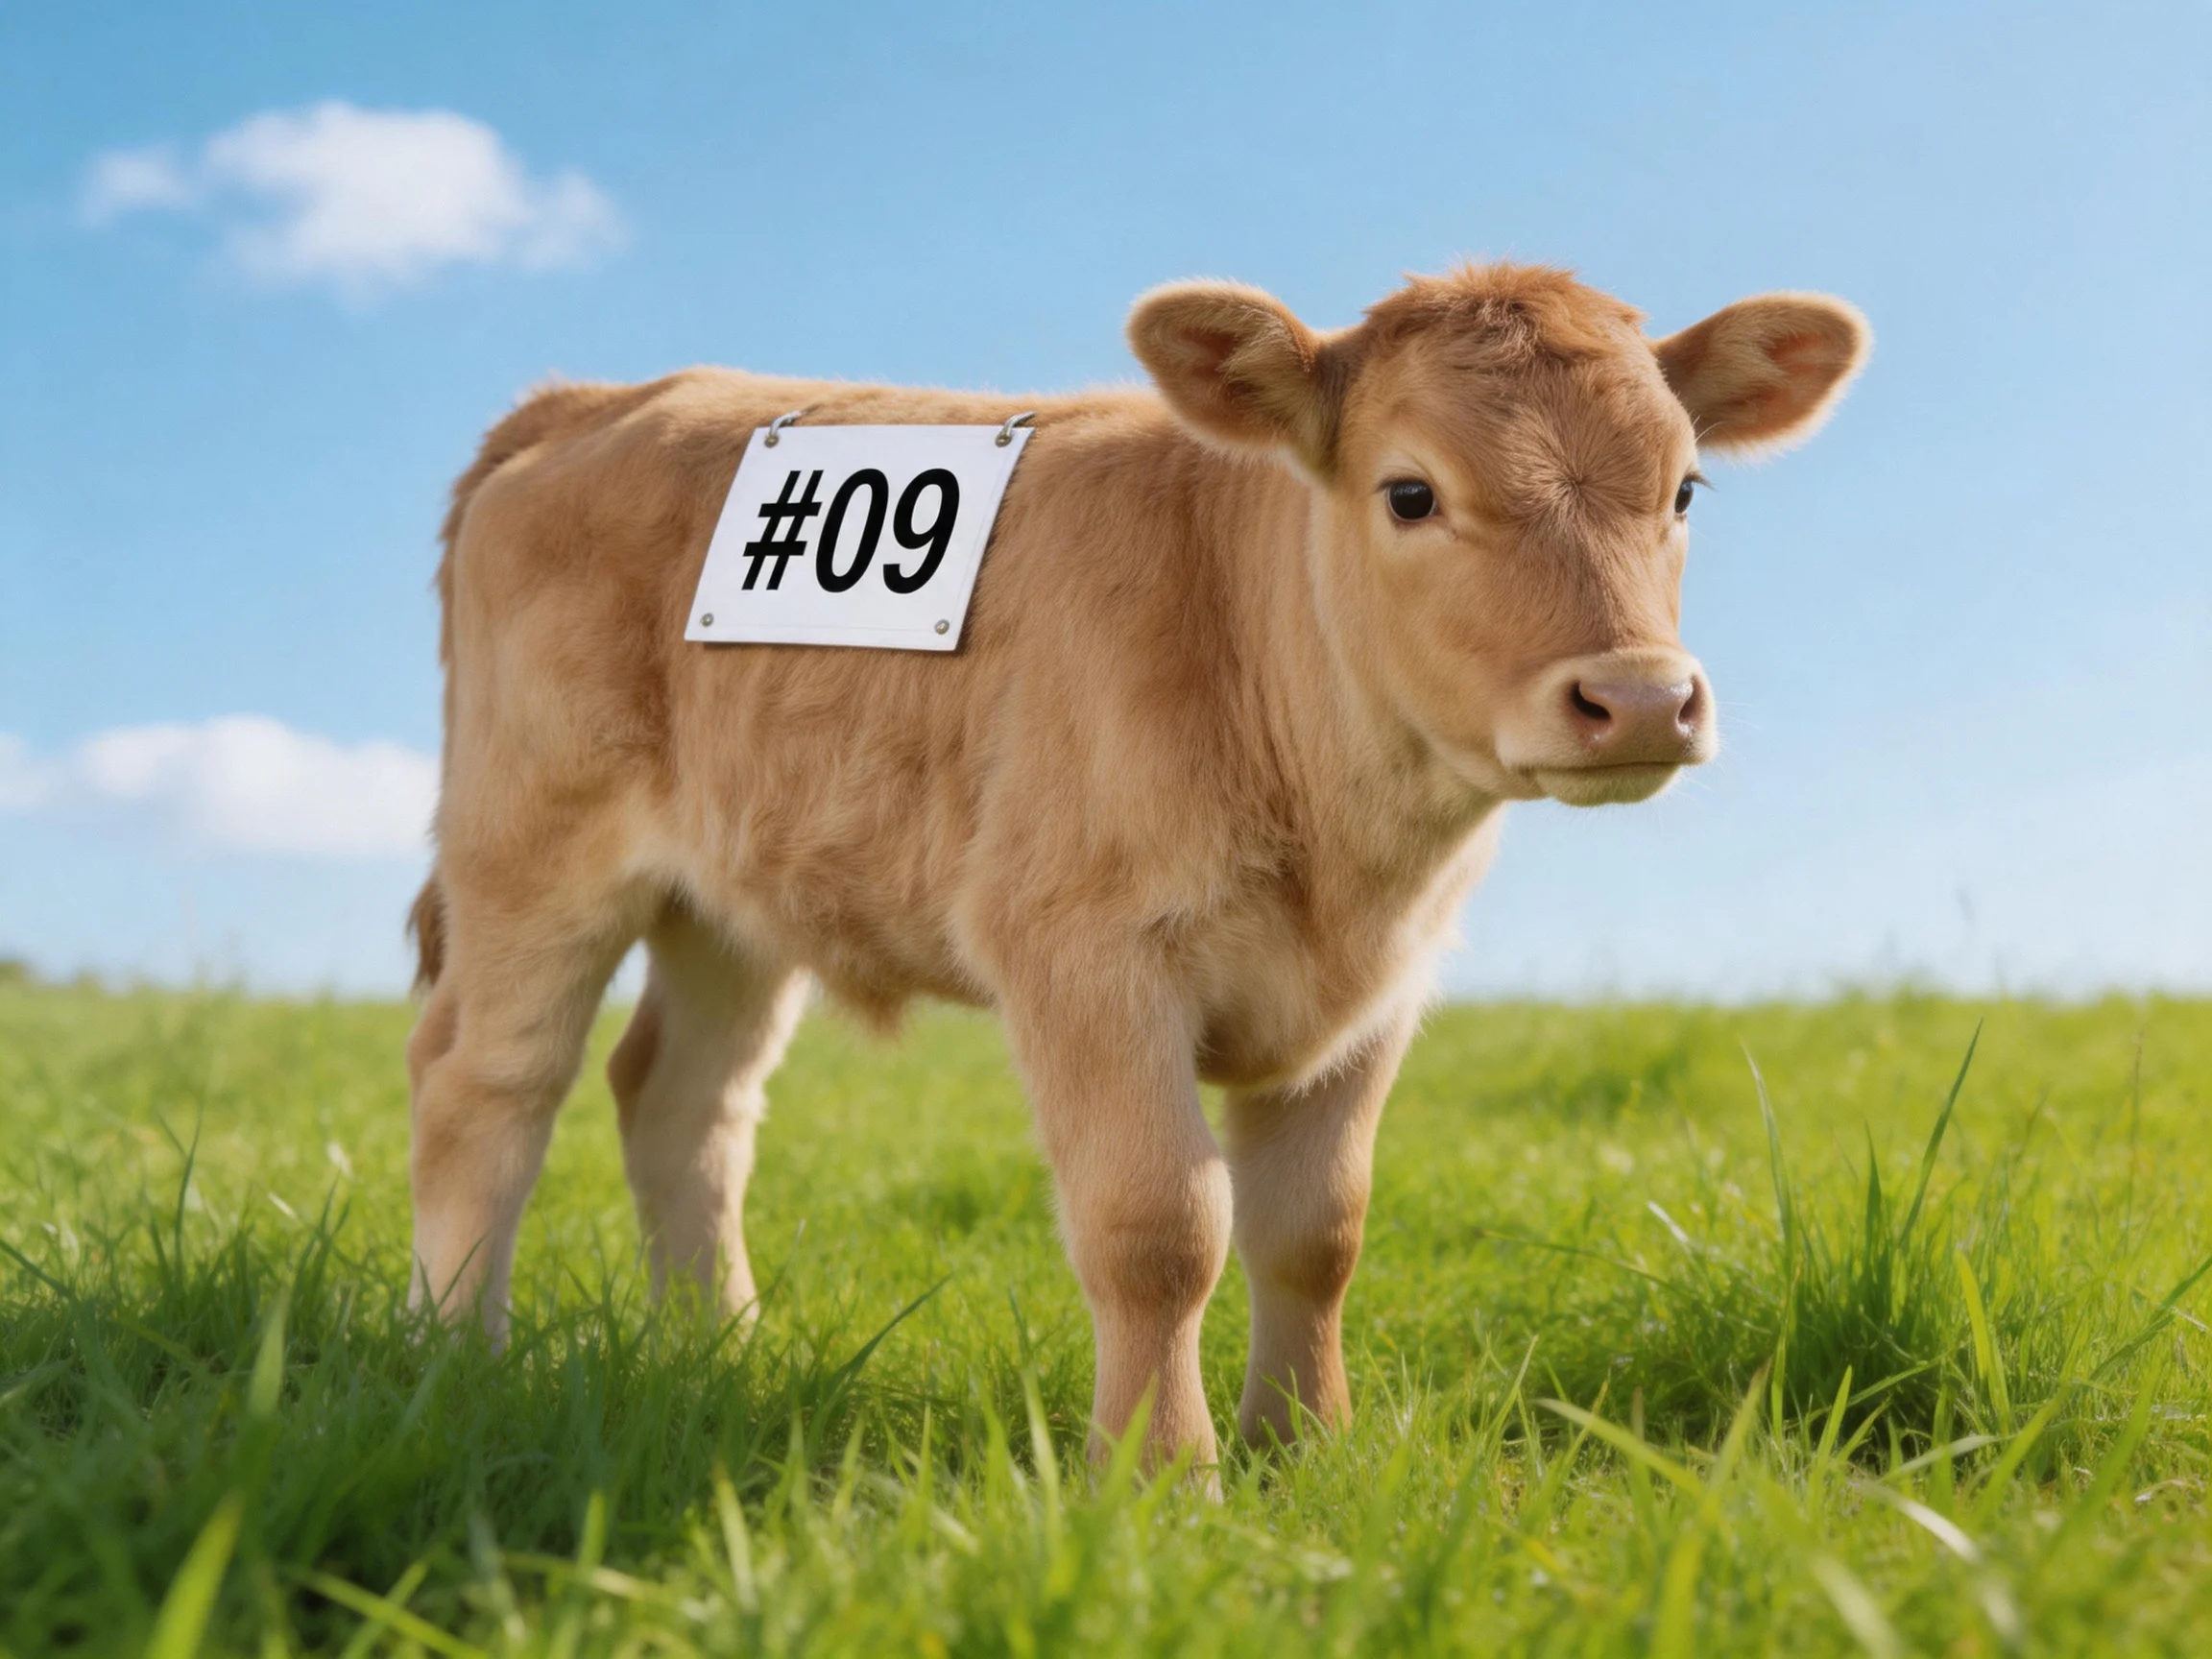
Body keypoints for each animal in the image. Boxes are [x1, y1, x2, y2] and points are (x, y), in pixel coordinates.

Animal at [404, 263, 1867, 1474]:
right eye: (1411, 491)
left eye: (1684, 488)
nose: (1640, 699)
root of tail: (592, 399)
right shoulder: (1083, 951)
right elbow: (1161, 1228)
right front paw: (1163, 1475)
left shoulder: (1382, 991)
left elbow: (1317, 1229)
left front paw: (1309, 1450)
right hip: (532, 850)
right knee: (485, 1088)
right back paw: (458, 1360)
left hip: (733, 898)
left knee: (680, 1100)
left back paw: (720, 1351)